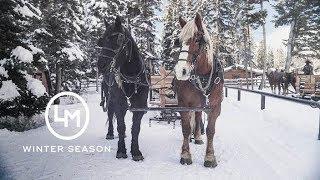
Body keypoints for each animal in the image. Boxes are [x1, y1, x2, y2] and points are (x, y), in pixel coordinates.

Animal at [97, 16, 149, 161]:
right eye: (102, 40)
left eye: (118, 39)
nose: (100, 65)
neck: (131, 76)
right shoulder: (118, 102)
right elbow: (120, 125)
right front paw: (121, 150)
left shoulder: (140, 104)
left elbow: (135, 128)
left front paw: (136, 151)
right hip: (109, 98)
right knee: (110, 114)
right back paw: (110, 133)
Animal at [174, 13, 224, 168]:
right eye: (179, 42)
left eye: (196, 40)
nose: (181, 71)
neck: (203, 76)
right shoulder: (183, 104)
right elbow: (185, 128)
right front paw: (185, 154)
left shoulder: (215, 107)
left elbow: (210, 130)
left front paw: (209, 157)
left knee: (197, 116)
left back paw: (197, 137)